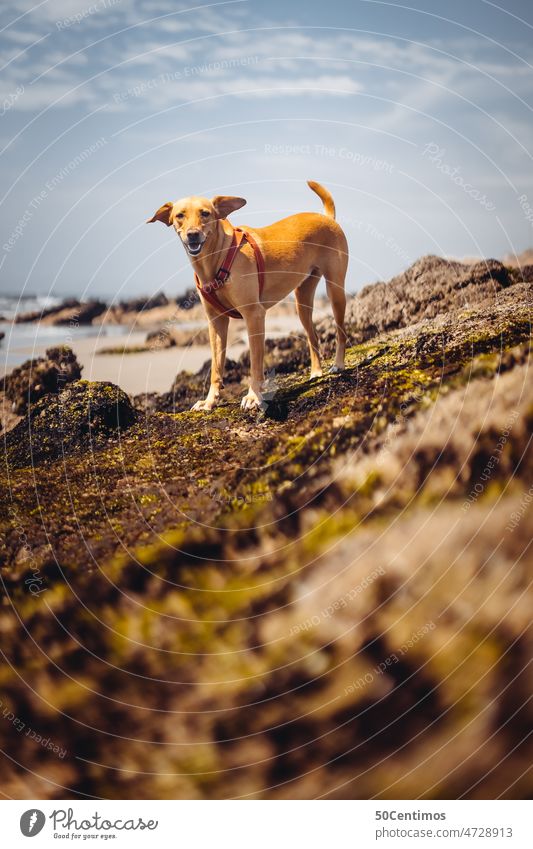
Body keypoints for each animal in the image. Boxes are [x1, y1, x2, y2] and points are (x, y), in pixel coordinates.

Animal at [148, 180, 348, 410]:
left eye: (205, 213)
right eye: (180, 215)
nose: (193, 234)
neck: (216, 258)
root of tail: (326, 217)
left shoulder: (254, 315)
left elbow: (255, 364)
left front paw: (253, 396)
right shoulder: (216, 322)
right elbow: (216, 367)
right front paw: (210, 401)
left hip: (335, 291)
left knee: (341, 332)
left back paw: (338, 364)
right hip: (302, 300)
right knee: (312, 336)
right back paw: (316, 372)